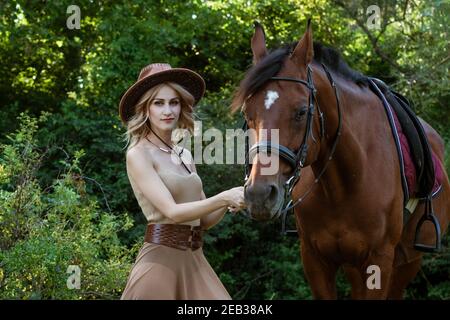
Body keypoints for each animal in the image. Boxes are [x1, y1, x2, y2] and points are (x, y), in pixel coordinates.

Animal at [232, 22, 450, 300]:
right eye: (247, 113)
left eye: (301, 112)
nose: (259, 195)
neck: (343, 184)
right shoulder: (315, 260)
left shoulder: (379, 261)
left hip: (408, 262)